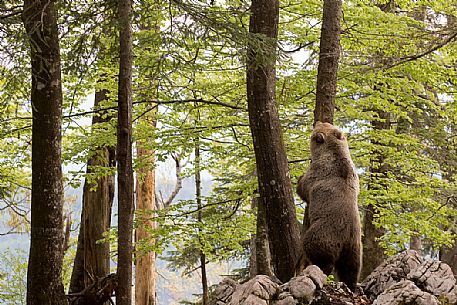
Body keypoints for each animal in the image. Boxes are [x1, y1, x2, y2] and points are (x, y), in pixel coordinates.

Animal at [296, 120, 360, 290]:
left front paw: (299, 178)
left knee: (318, 252)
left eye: (318, 128)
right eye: (326, 123)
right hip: (354, 247)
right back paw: (351, 283)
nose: (317, 121)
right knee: (350, 268)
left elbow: (304, 187)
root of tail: (345, 240)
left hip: (324, 233)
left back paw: (320, 268)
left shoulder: (319, 171)